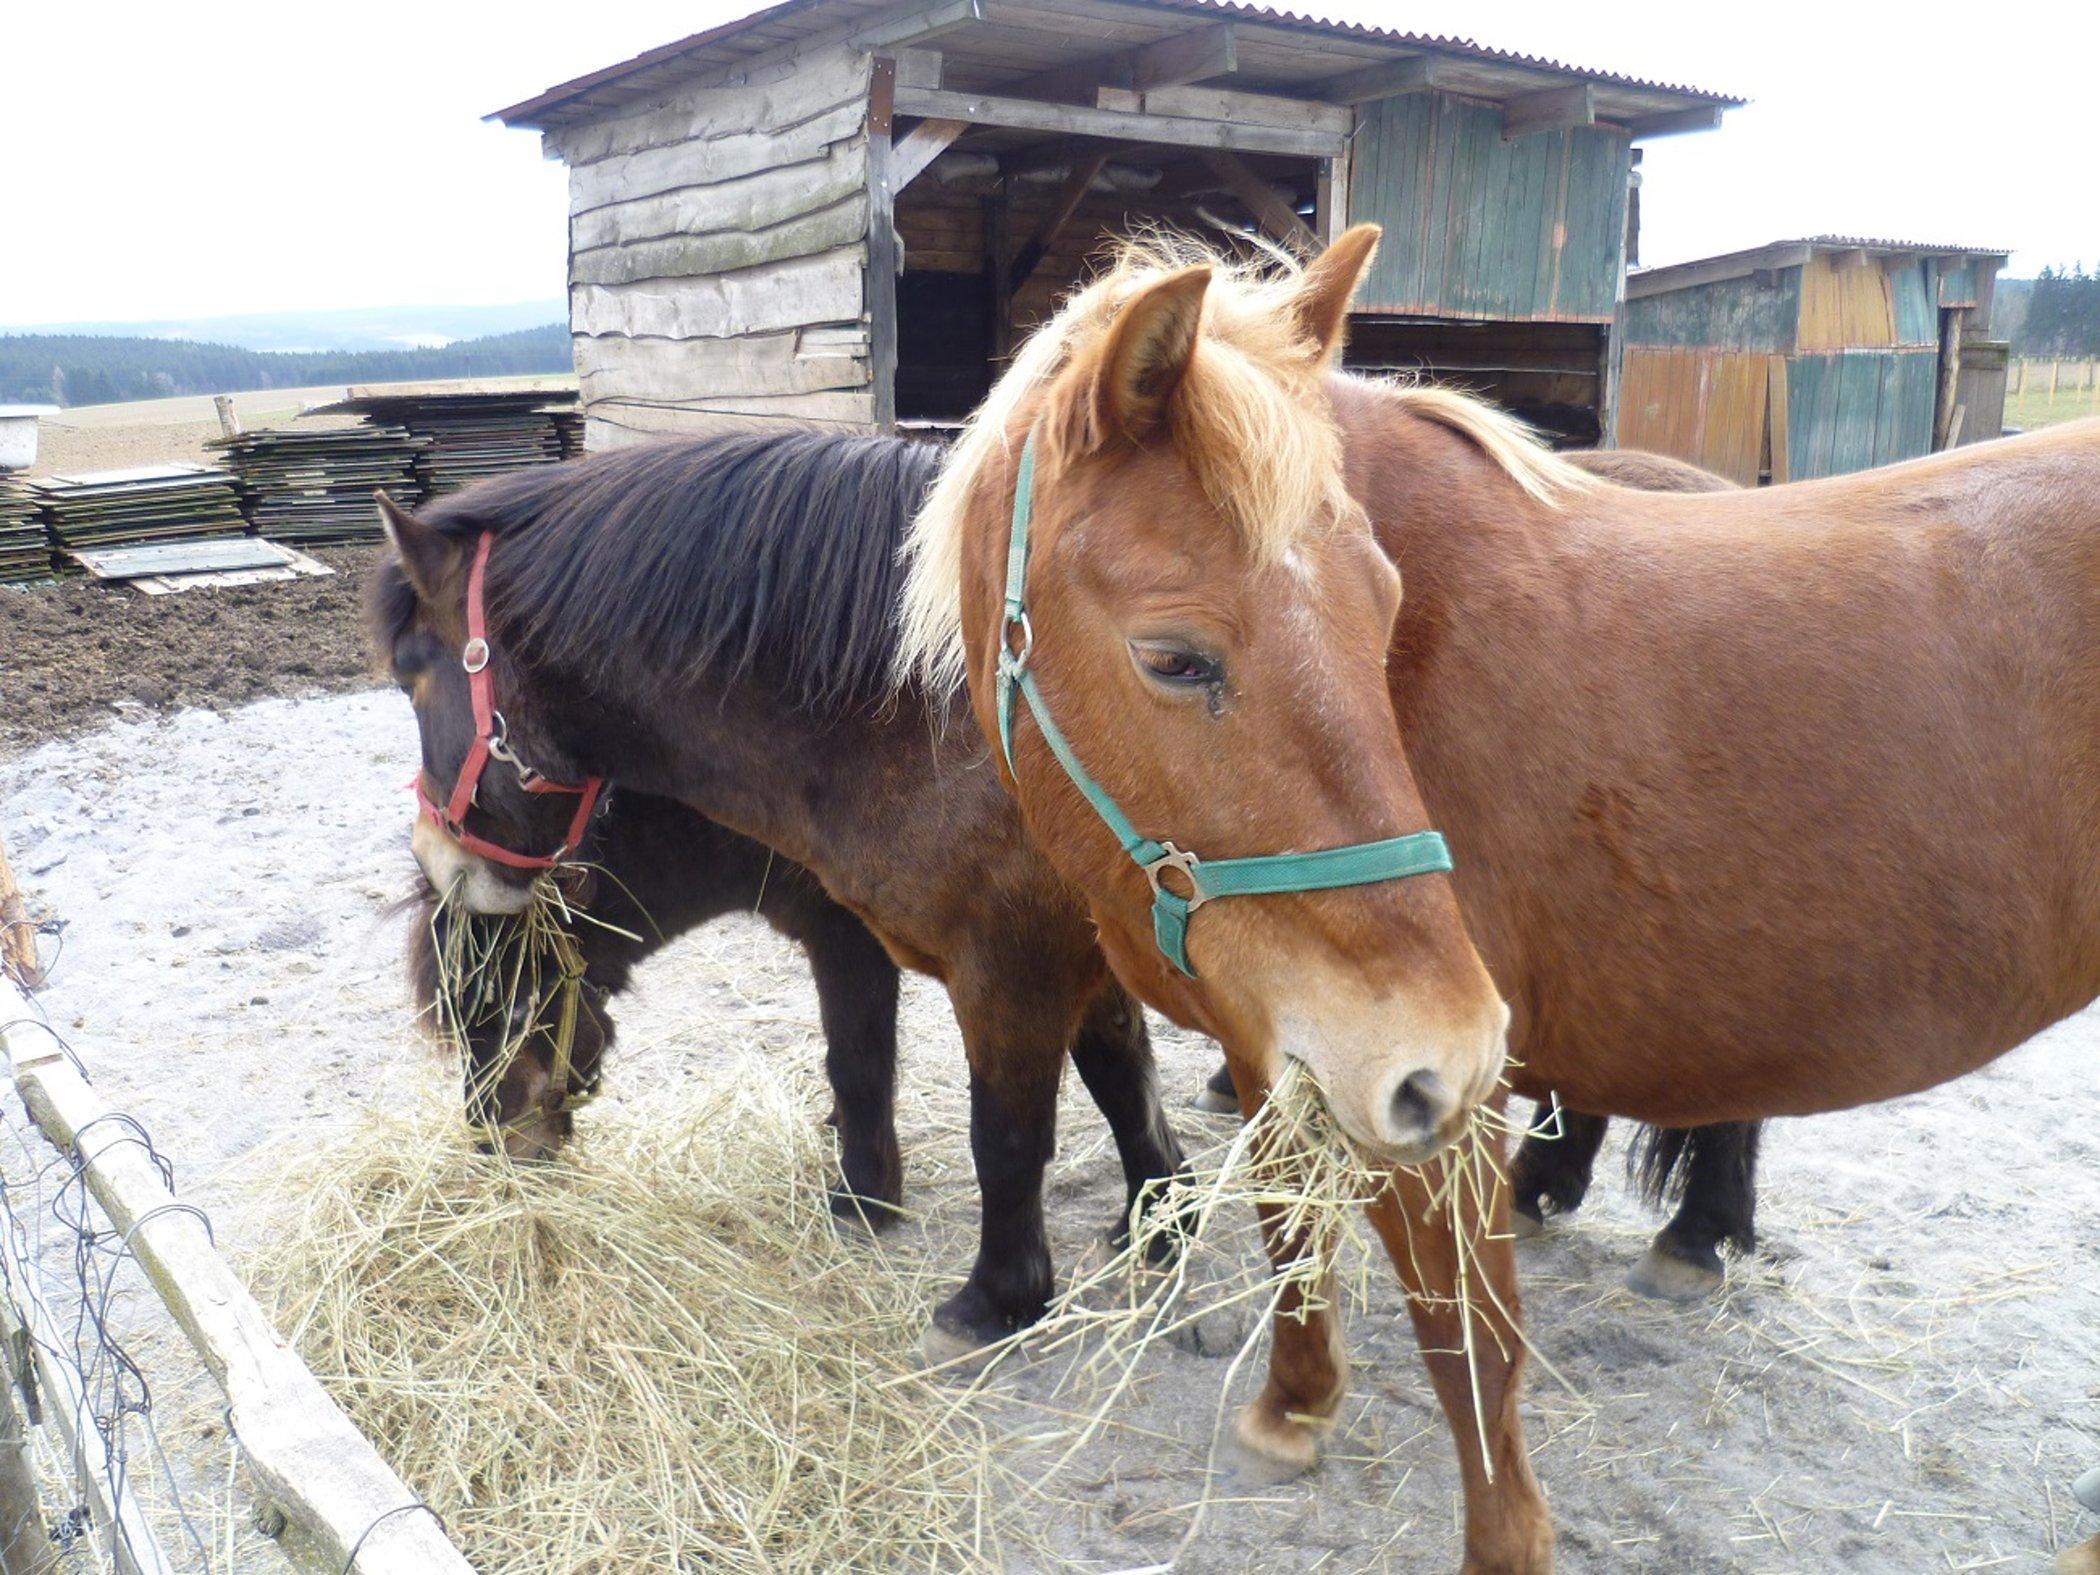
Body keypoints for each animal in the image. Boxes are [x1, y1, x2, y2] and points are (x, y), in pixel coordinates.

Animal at [369, 436, 1190, 1366]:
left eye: (502, 1010)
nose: (495, 1158)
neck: (935, 711)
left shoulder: (999, 966)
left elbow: (981, 1120)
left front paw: (988, 1290)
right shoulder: (1077, 955)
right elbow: (1122, 1078)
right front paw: (1160, 1218)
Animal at [902, 223, 2100, 1571]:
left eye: (1383, 612)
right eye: (1173, 657)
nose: (1458, 1041)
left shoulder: (1437, 1107)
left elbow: (1470, 1349)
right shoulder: (1286, 1047)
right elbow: (1290, 1232)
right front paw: (1293, 1409)